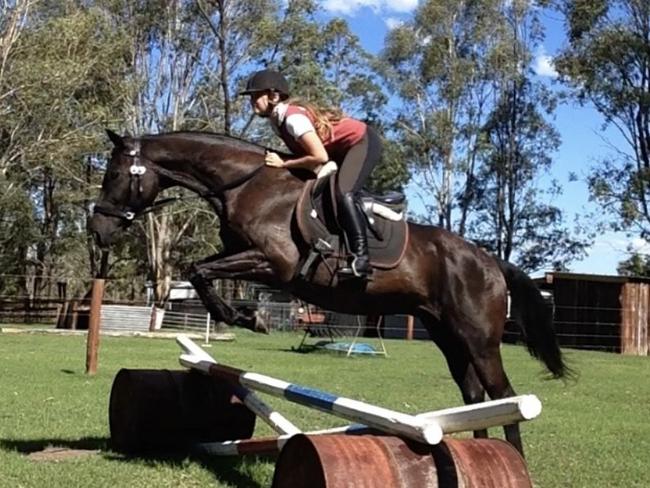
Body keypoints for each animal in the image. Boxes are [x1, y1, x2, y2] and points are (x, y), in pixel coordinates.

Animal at [87, 129, 568, 454]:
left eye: (114, 174)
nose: (97, 230)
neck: (246, 183)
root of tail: (490, 261)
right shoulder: (245, 256)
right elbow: (200, 270)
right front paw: (244, 316)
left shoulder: (275, 264)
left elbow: (199, 270)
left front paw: (247, 318)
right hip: (446, 334)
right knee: (474, 395)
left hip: (478, 337)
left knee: (505, 396)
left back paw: (510, 457)